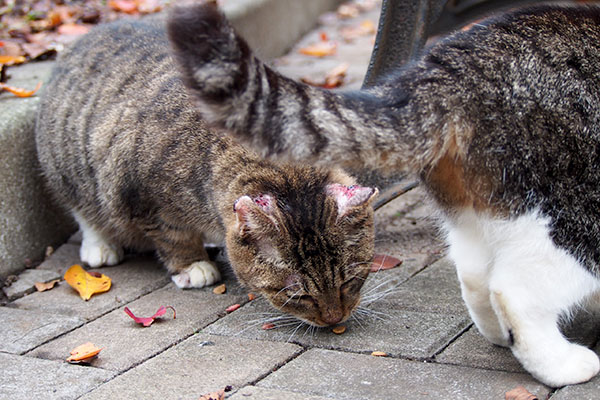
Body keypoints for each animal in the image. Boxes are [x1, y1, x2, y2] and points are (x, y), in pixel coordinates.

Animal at [34, 15, 380, 328]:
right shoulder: (145, 198)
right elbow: (173, 235)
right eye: (297, 295)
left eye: (350, 282)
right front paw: (192, 265)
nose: (335, 319)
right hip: (69, 167)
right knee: (84, 211)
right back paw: (100, 245)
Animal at [165, 1, 600, 386]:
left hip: (478, 211)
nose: (333, 318)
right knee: (515, 291)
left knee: (477, 275)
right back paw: (566, 366)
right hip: (574, 213)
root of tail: (455, 63)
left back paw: (500, 336)